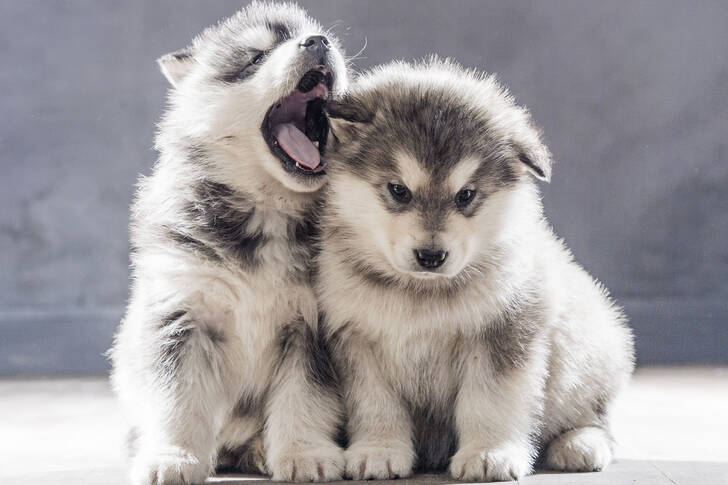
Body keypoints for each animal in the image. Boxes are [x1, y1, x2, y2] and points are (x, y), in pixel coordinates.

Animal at [110, 3, 350, 484]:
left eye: (311, 33)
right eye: (256, 58)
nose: (319, 41)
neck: (268, 209)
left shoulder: (312, 326)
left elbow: (305, 398)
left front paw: (304, 452)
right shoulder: (182, 314)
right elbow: (178, 402)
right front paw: (173, 457)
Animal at [316, 59, 636, 480]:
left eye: (466, 195)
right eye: (398, 190)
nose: (431, 256)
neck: (420, 293)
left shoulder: (505, 330)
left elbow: (490, 401)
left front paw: (489, 453)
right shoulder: (355, 340)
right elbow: (375, 404)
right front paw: (378, 449)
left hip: (584, 352)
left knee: (595, 416)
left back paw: (580, 443)